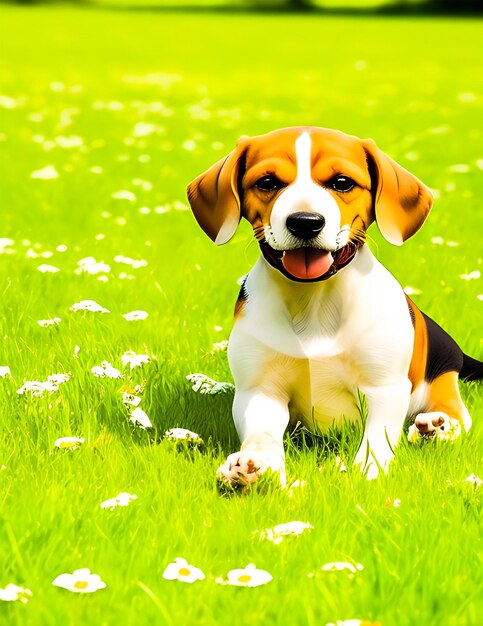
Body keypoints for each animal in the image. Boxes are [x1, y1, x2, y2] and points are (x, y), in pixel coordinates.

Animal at [185, 124, 480, 480]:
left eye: (342, 182)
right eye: (267, 182)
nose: (305, 221)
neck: (314, 299)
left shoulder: (384, 387)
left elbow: (377, 435)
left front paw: (369, 470)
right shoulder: (260, 391)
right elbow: (262, 433)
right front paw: (254, 465)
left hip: (442, 380)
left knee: (457, 416)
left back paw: (435, 427)